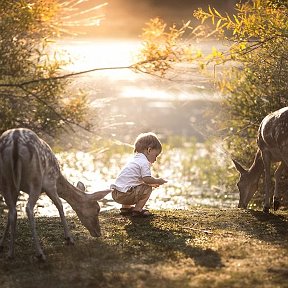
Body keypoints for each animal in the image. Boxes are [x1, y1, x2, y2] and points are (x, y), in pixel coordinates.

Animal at [0, 127, 111, 258]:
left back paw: (10, 253)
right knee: (28, 208)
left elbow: (10, 214)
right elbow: (60, 205)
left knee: (13, 211)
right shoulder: (50, 183)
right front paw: (69, 239)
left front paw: (2, 243)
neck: (58, 179)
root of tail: (15, 142)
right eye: (97, 209)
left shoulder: (16, 189)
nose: (98, 233)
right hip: (36, 179)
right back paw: (40, 253)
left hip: (5, 180)